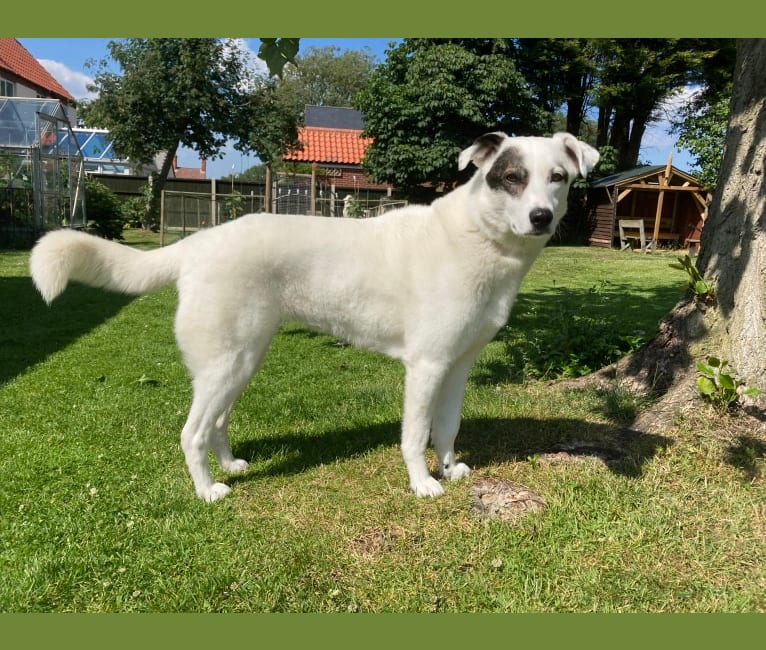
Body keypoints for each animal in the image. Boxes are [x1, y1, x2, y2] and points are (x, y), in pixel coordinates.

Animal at [31, 129, 600, 498]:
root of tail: (198, 243)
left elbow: (448, 426)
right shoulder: (426, 367)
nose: (541, 217)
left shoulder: (457, 367)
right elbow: (414, 433)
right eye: (512, 177)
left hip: (241, 360)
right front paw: (422, 483)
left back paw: (230, 465)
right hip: (227, 363)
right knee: (191, 432)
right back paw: (208, 490)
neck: (478, 237)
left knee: (217, 422)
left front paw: (450, 467)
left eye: (558, 177)